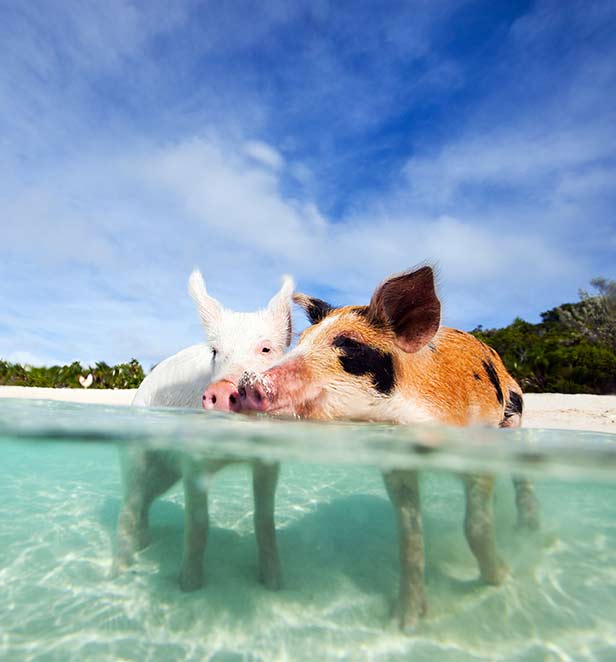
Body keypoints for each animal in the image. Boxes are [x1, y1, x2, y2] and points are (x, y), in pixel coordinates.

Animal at [113, 269, 293, 592]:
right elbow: (198, 522)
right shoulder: (193, 459)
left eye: (266, 348)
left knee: (145, 501)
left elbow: (264, 520)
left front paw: (275, 584)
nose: (221, 390)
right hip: (136, 452)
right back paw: (118, 574)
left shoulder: (268, 460)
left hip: (165, 473)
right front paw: (189, 586)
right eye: (215, 352)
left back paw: (145, 545)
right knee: (129, 506)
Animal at [237, 266, 540, 630]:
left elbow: (475, 526)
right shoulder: (397, 467)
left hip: (514, 416)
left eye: (349, 345)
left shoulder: (476, 450)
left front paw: (499, 579)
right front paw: (405, 623)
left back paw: (528, 530)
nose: (246, 384)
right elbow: (410, 537)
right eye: (302, 340)